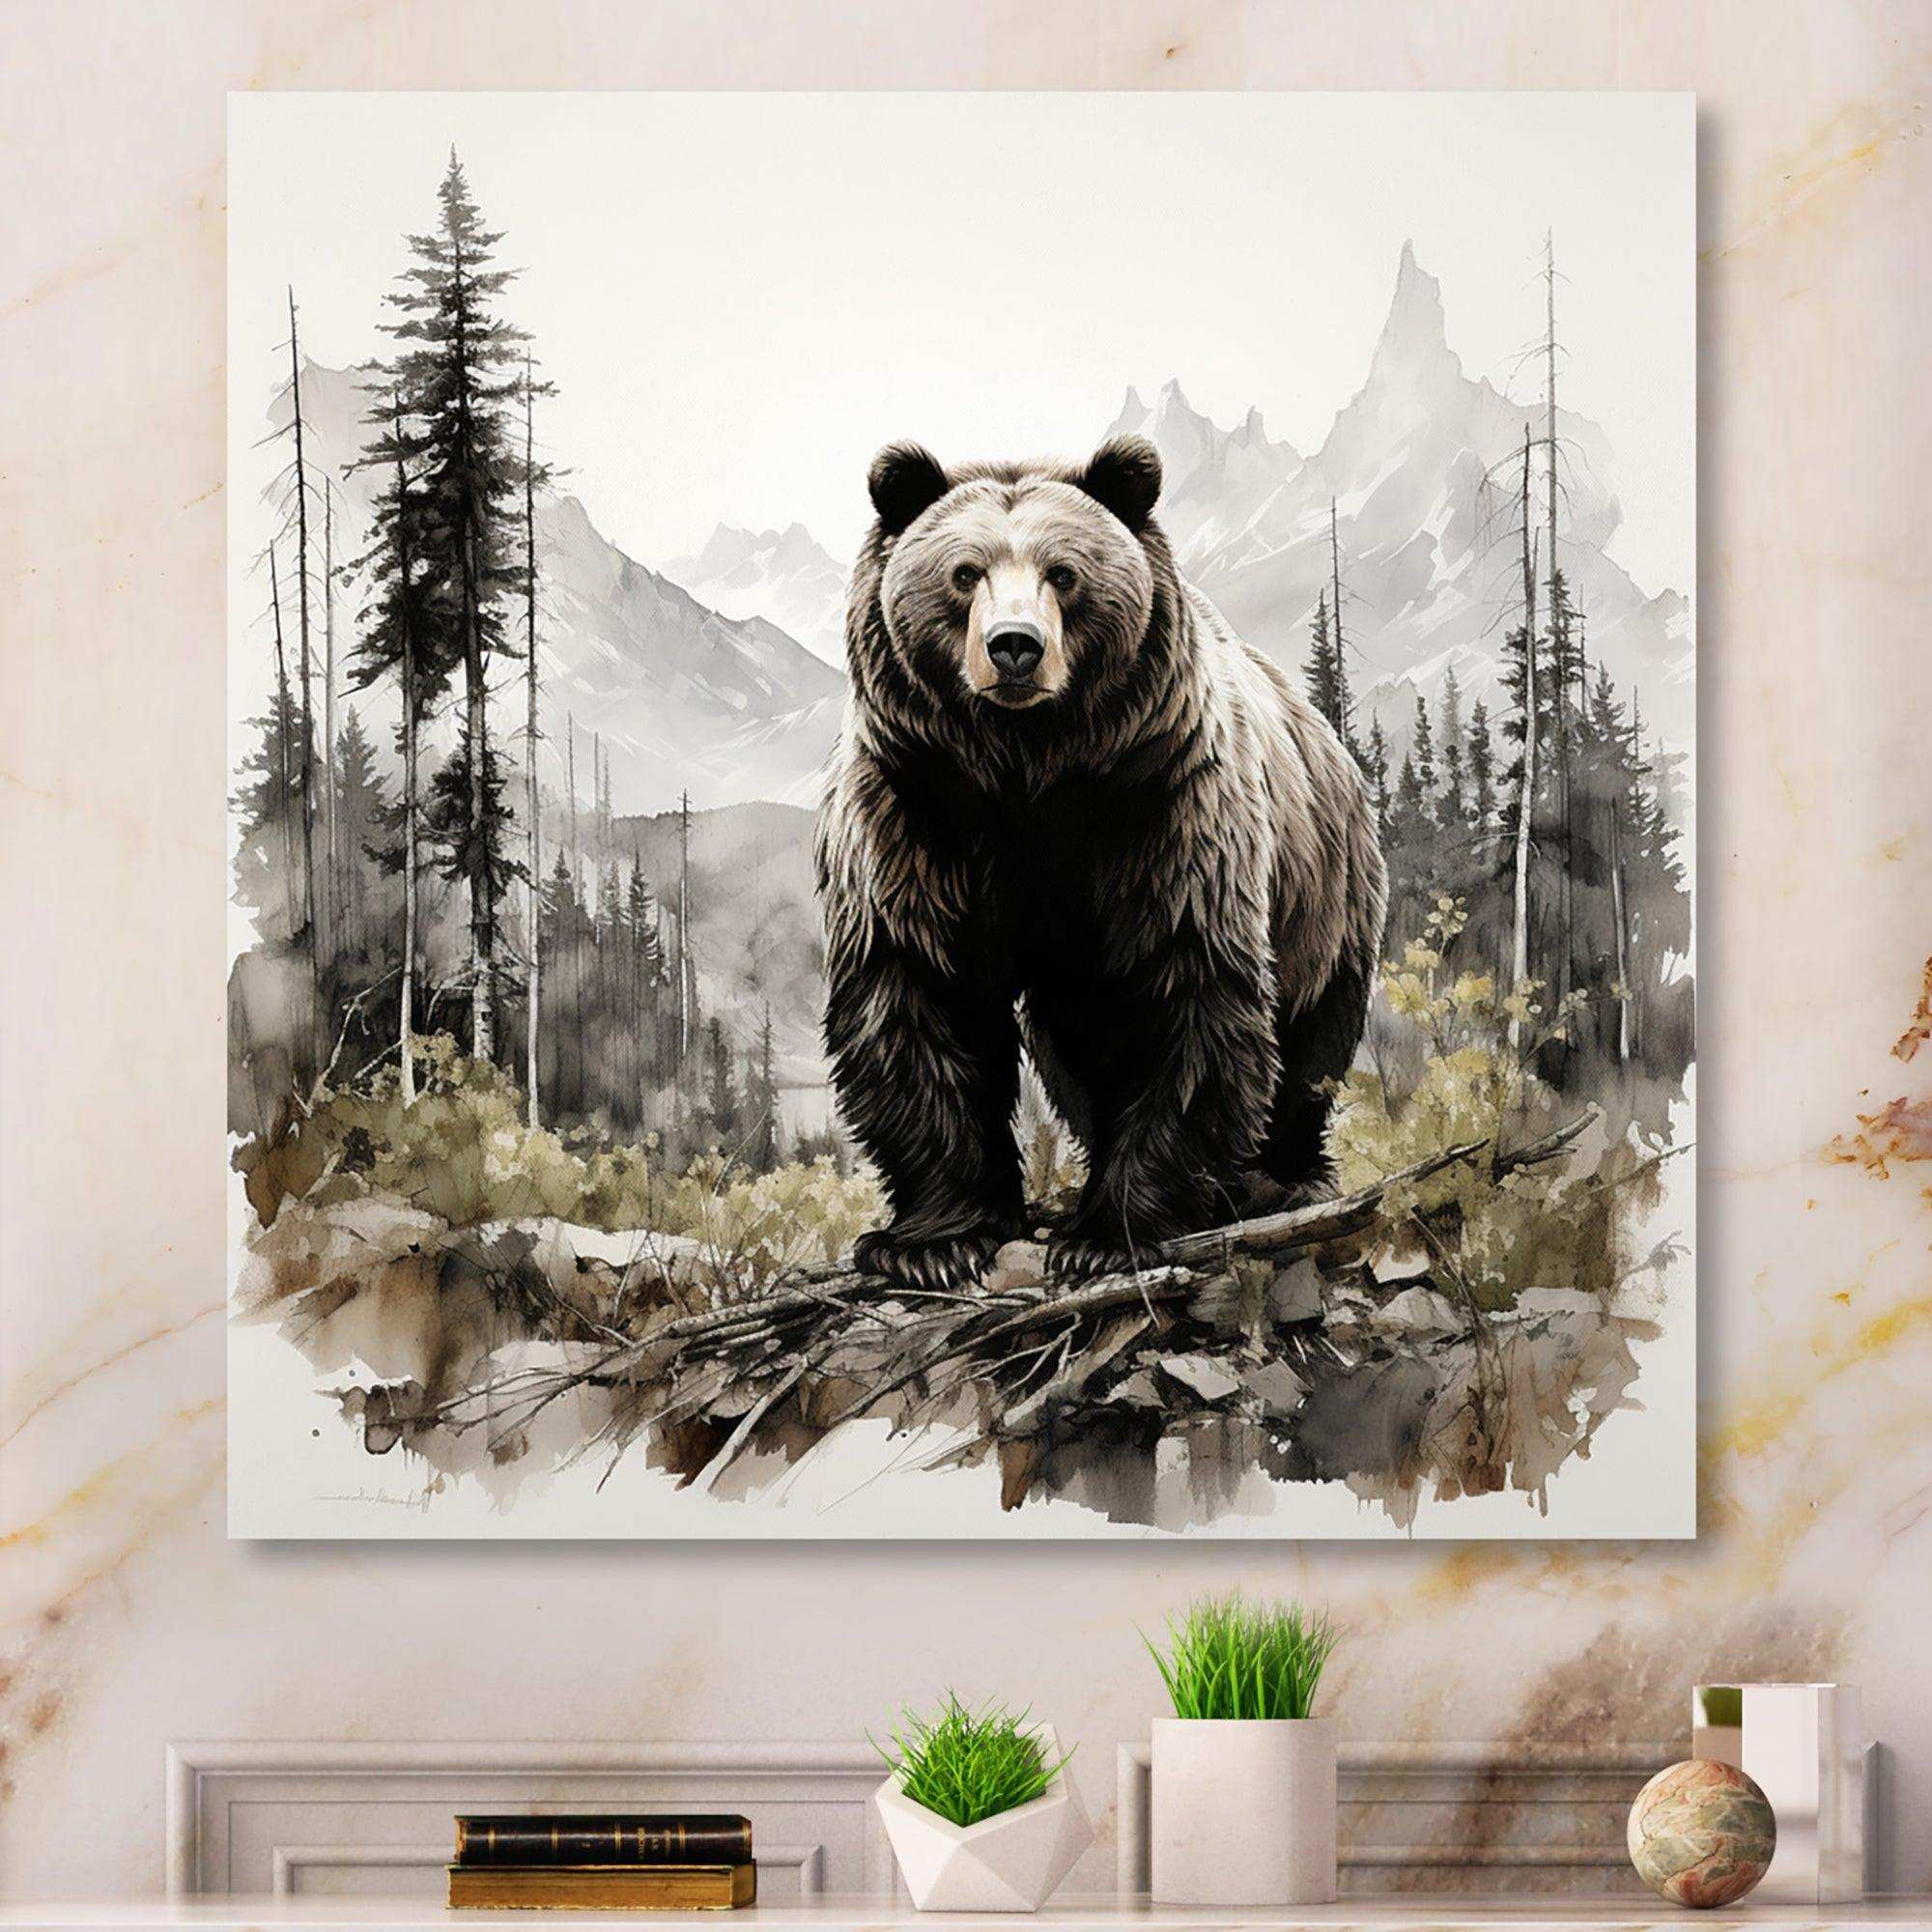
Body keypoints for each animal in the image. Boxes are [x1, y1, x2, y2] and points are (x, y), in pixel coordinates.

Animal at [815, 433, 1387, 1291]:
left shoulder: (1161, 807)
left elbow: (1181, 992)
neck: (1029, 768)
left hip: (1325, 888)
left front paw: (1109, 1234)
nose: (1014, 646)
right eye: (964, 572)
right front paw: (932, 1240)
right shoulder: (915, 810)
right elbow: (918, 988)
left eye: (1064, 572)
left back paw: (1281, 1178)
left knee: (1311, 1040)